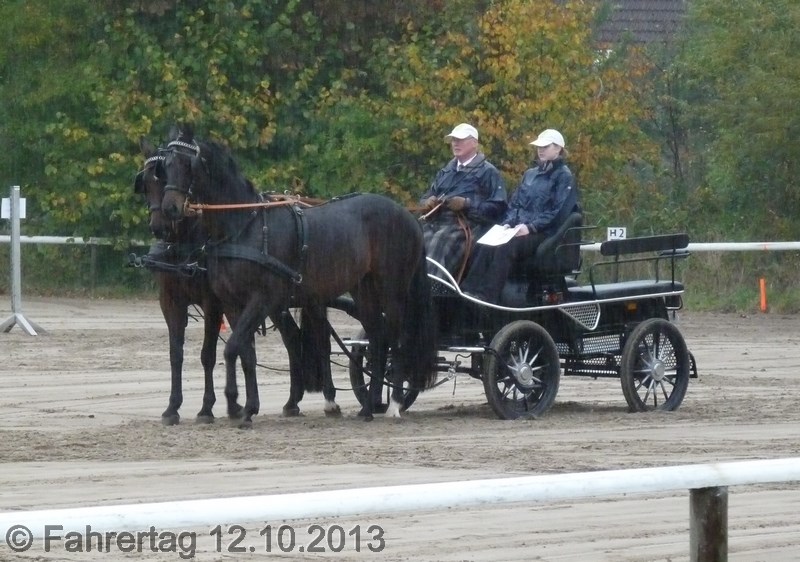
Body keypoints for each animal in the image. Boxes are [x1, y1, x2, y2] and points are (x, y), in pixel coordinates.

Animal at [134, 137, 341, 425]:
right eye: (145, 183)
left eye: (164, 177)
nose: (161, 225)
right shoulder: (171, 301)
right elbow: (177, 355)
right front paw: (173, 407)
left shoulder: (213, 303)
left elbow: (209, 355)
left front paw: (209, 408)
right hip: (277, 304)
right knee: (292, 338)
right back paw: (292, 402)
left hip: (312, 298)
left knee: (322, 340)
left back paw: (330, 399)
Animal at [160, 124, 438, 426]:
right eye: (165, 165)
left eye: (188, 164)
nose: (169, 209)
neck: (244, 226)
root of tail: (408, 217)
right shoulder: (233, 304)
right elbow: (245, 352)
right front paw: (243, 406)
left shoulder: (262, 299)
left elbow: (232, 348)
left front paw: (239, 405)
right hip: (363, 290)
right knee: (378, 338)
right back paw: (369, 407)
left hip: (392, 290)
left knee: (397, 341)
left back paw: (395, 402)